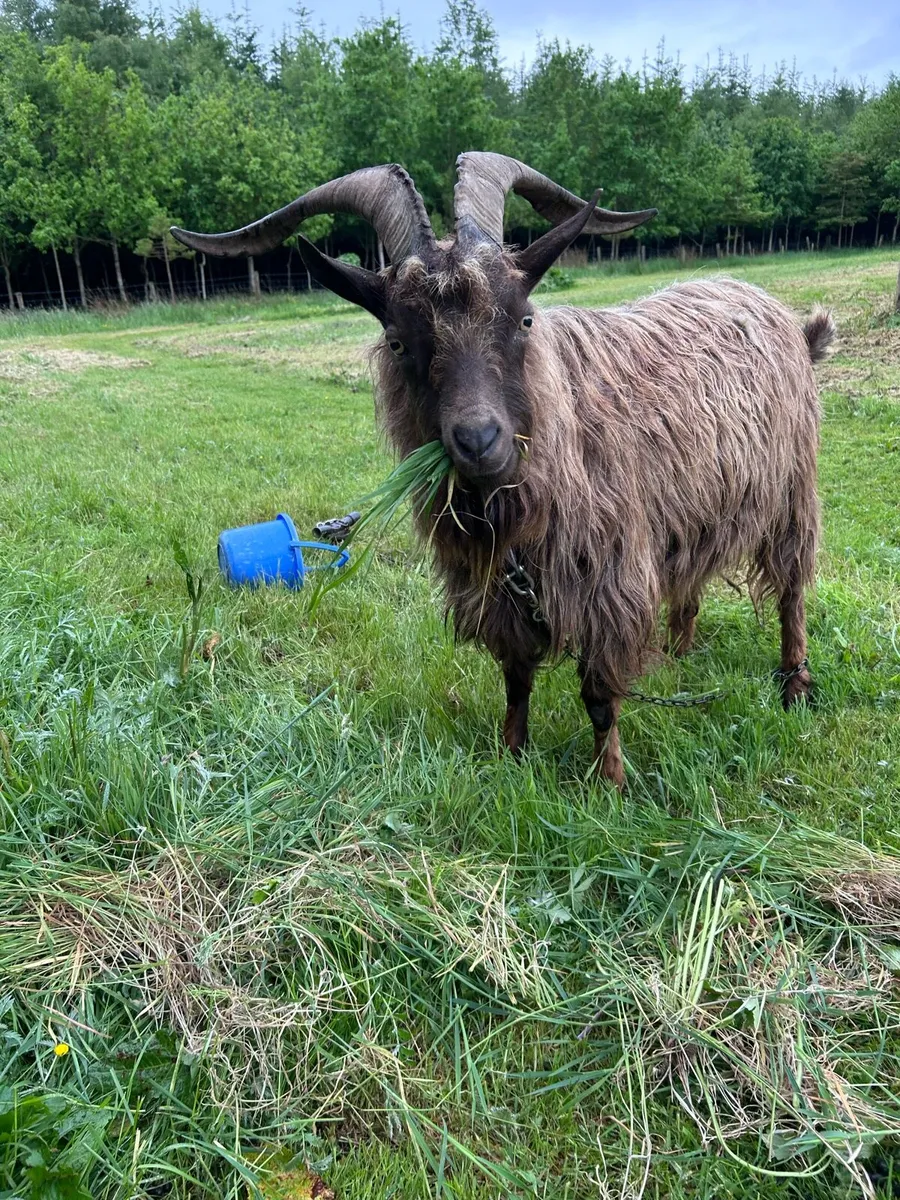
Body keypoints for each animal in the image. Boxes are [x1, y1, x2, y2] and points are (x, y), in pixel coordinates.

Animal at [173, 153, 834, 787]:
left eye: (523, 319)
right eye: (398, 341)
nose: (478, 439)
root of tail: (778, 312)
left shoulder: (607, 581)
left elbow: (599, 696)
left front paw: (610, 784)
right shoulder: (500, 593)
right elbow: (516, 680)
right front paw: (511, 757)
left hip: (792, 491)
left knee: (791, 591)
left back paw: (795, 683)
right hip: (694, 510)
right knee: (690, 586)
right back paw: (676, 654)